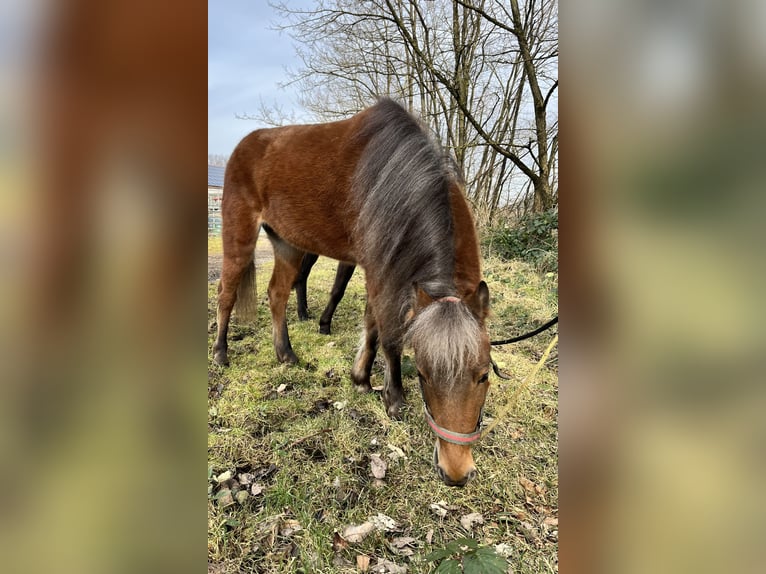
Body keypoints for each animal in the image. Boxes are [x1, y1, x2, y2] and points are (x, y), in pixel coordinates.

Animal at [214, 99, 492, 486]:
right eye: (422, 374)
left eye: (484, 375)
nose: (456, 472)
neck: (399, 182)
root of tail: (245, 145)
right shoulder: (378, 269)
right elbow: (388, 335)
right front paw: (393, 399)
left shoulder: (383, 268)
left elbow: (373, 326)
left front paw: (361, 379)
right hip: (238, 233)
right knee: (226, 293)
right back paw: (221, 353)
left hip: (286, 244)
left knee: (277, 294)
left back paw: (286, 354)